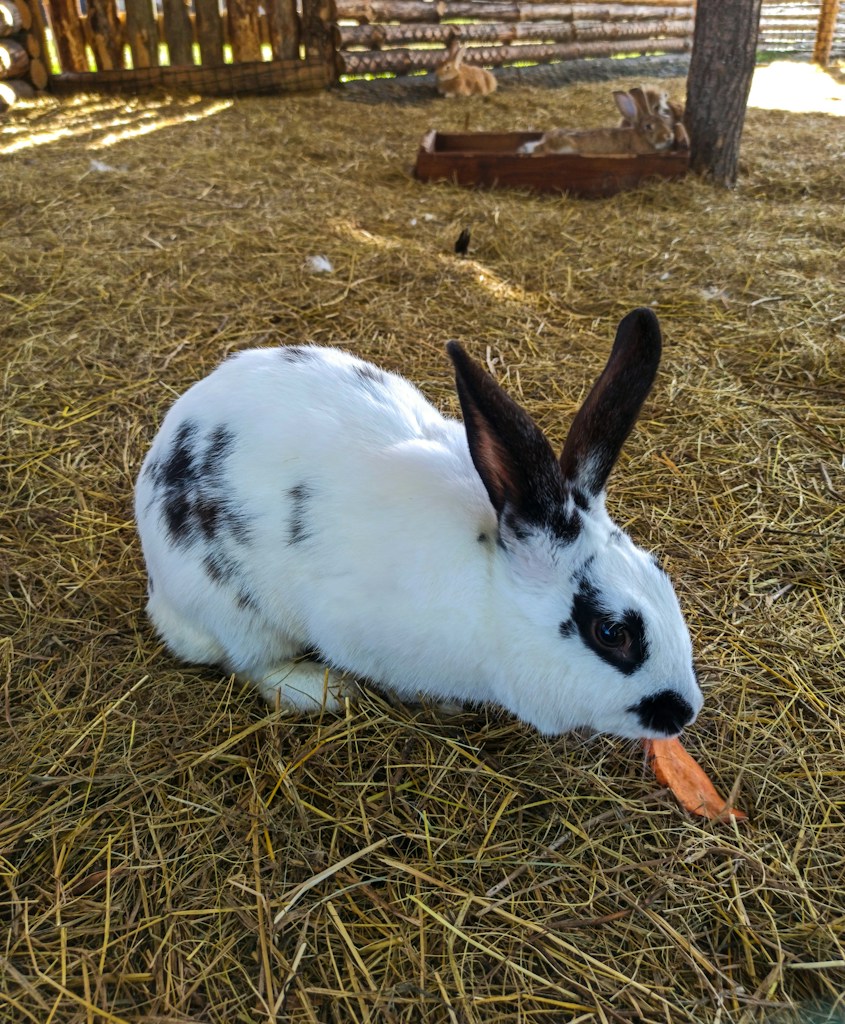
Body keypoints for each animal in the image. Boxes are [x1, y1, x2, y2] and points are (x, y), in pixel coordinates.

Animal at [134, 308, 704, 741]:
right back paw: (321, 690)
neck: (489, 593)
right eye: (611, 632)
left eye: (660, 573)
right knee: (249, 663)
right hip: (237, 610)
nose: (684, 712)